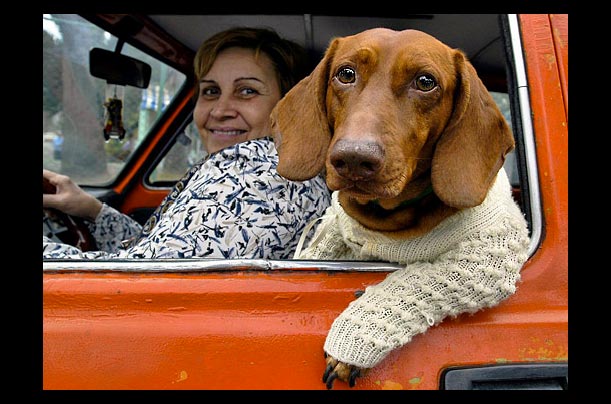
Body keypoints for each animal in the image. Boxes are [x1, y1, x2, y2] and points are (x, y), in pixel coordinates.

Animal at [272, 28, 532, 388]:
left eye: (425, 81)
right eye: (345, 73)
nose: (354, 159)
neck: (383, 220)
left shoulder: (488, 259)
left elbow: (413, 283)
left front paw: (353, 337)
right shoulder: (337, 228)